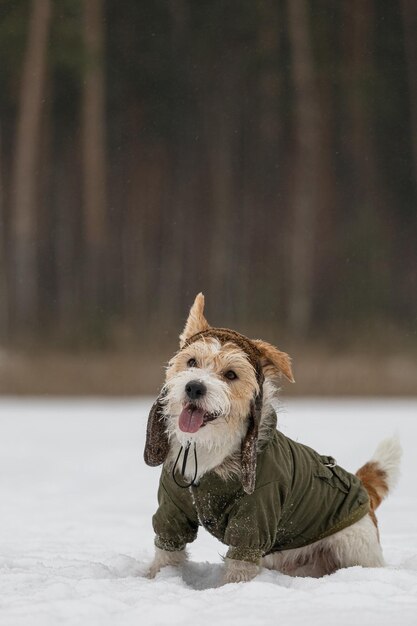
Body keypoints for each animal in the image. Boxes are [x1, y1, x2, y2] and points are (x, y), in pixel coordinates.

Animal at [143, 294, 400, 584]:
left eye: (230, 374)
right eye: (191, 362)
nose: (194, 387)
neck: (208, 449)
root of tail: (363, 492)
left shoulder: (254, 519)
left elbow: (240, 565)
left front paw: (231, 589)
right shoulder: (172, 509)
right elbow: (167, 551)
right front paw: (158, 577)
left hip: (353, 547)